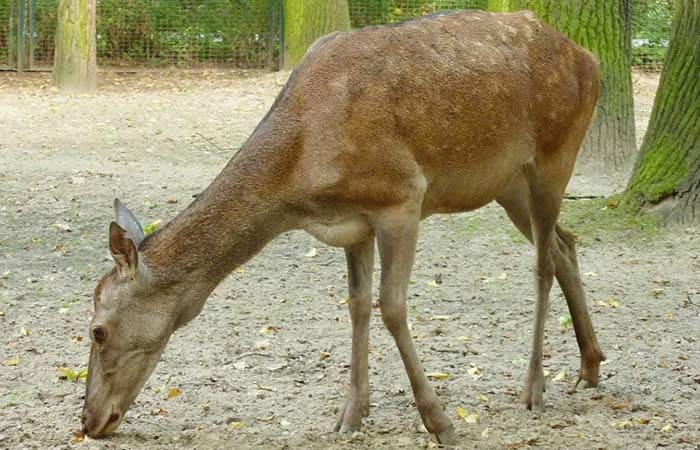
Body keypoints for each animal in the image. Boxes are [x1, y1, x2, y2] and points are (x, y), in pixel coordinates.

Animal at [83, 8, 608, 444]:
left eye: (98, 331)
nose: (88, 421)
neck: (300, 177)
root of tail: (590, 57)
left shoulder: (402, 197)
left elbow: (391, 307)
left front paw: (439, 421)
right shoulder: (354, 224)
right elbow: (356, 305)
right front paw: (351, 415)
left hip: (555, 155)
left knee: (541, 264)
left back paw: (534, 388)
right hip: (507, 183)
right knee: (565, 244)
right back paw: (590, 367)